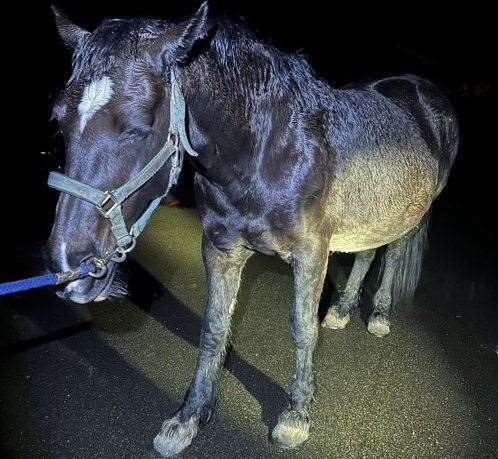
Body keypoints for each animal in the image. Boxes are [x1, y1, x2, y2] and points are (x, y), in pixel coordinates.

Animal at [47, 2, 460, 456]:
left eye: (136, 127)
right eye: (59, 123)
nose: (70, 268)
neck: (267, 151)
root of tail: (422, 89)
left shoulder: (311, 255)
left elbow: (302, 329)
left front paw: (296, 417)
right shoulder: (220, 249)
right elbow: (214, 328)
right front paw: (189, 419)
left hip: (411, 214)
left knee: (394, 253)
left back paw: (380, 313)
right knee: (368, 249)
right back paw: (342, 308)